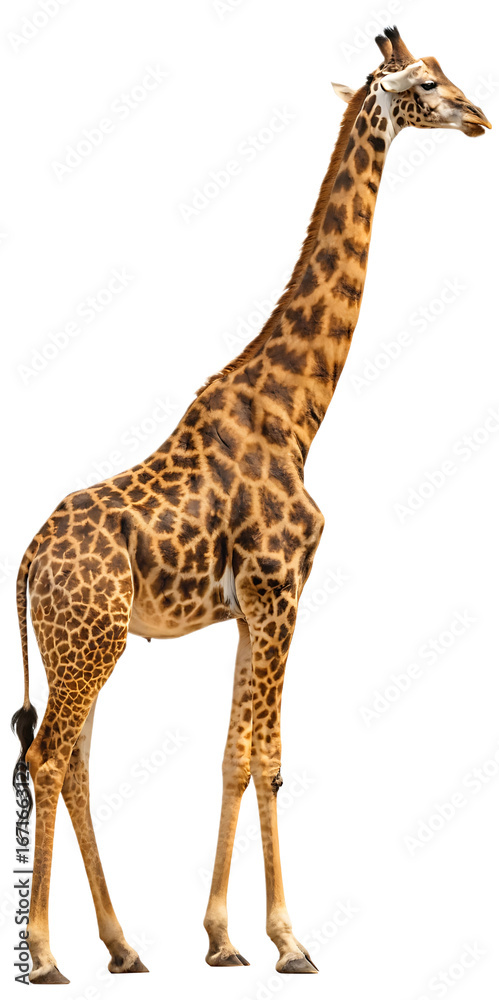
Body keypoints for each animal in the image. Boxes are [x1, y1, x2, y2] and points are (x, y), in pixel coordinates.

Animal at [12, 26, 491, 984]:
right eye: (425, 85)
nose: (479, 118)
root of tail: (27, 561)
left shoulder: (248, 609)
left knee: (73, 761)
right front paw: (287, 939)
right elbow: (264, 756)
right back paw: (45, 956)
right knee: (46, 758)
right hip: (89, 640)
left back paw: (123, 946)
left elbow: (236, 756)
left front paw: (222, 937)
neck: (298, 411)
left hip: (77, 641)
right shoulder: (280, 592)